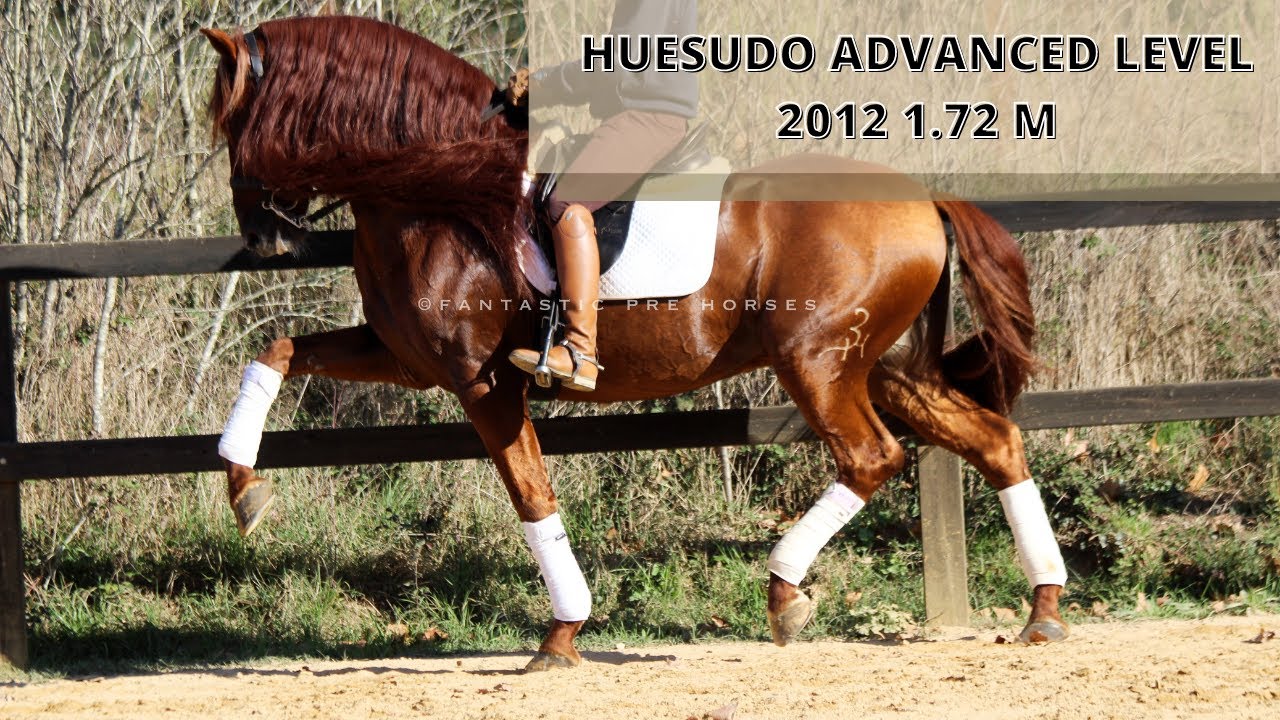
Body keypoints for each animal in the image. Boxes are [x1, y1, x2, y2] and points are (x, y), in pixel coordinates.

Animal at [201, 15, 1070, 671]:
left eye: (233, 119)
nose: (261, 236)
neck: (436, 189)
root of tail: (922, 198)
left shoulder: (483, 382)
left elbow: (531, 494)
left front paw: (561, 634)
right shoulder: (410, 360)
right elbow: (276, 350)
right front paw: (245, 489)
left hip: (818, 364)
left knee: (871, 458)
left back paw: (785, 592)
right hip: (884, 368)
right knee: (994, 441)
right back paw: (1044, 609)